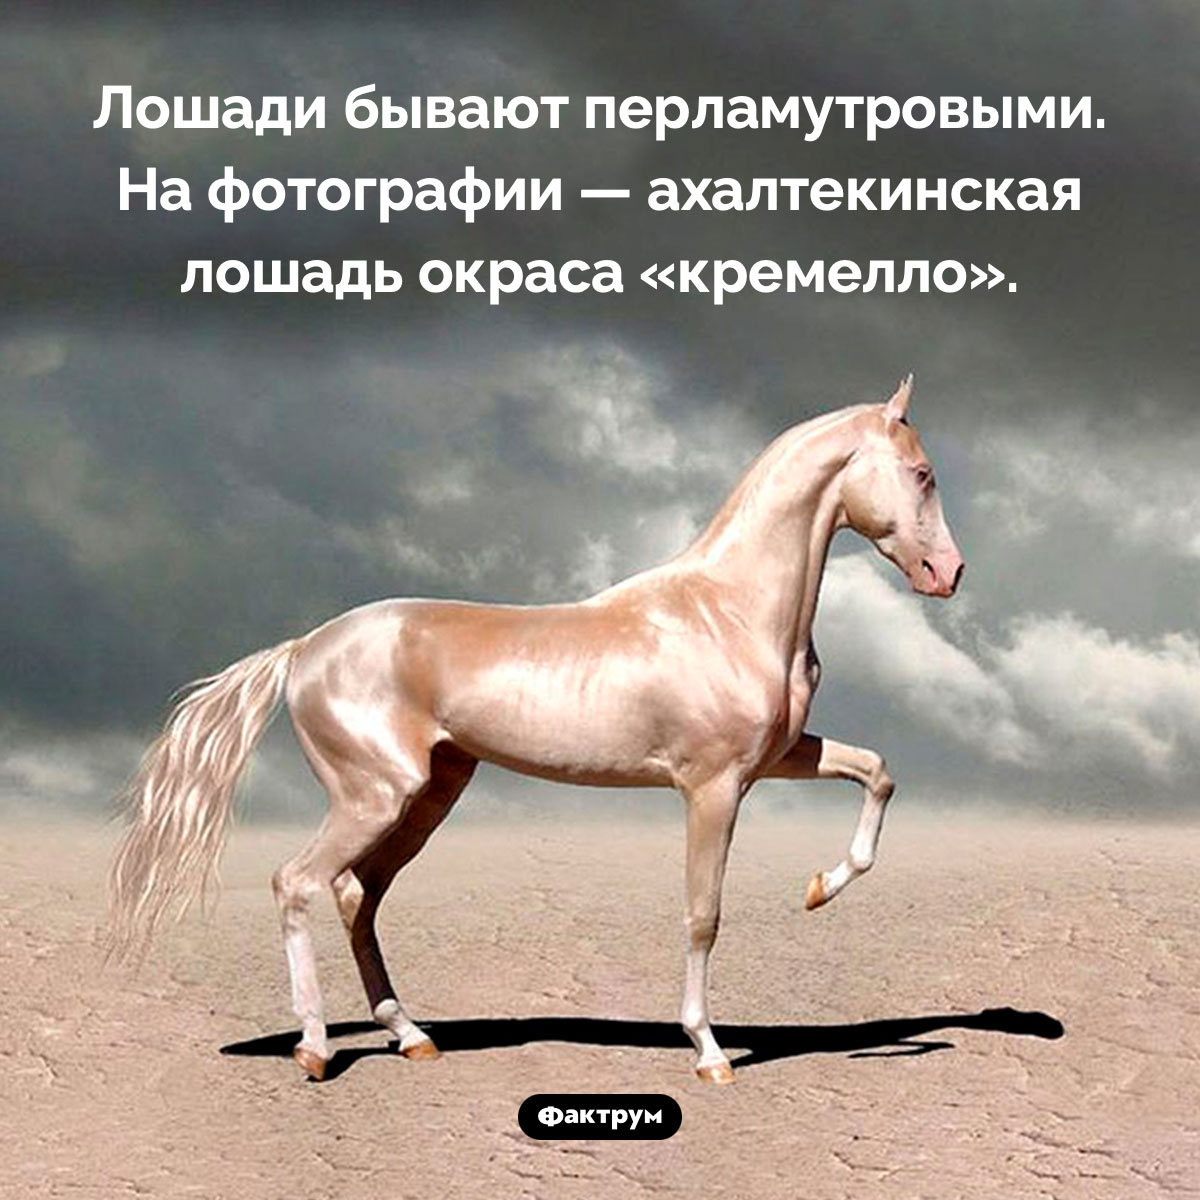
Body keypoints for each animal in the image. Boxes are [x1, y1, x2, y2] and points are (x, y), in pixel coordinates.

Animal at [109, 375, 963, 1085]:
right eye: (923, 474)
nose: (948, 574)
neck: (728, 610)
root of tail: (304, 648)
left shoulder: (777, 759)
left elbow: (878, 771)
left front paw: (820, 888)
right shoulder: (712, 788)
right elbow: (703, 915)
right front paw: (711, 1053)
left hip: (428, 796)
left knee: (358, 896)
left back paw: (412, 1037)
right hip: (374, 796)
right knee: (298, 883)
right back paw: (315, 1050)